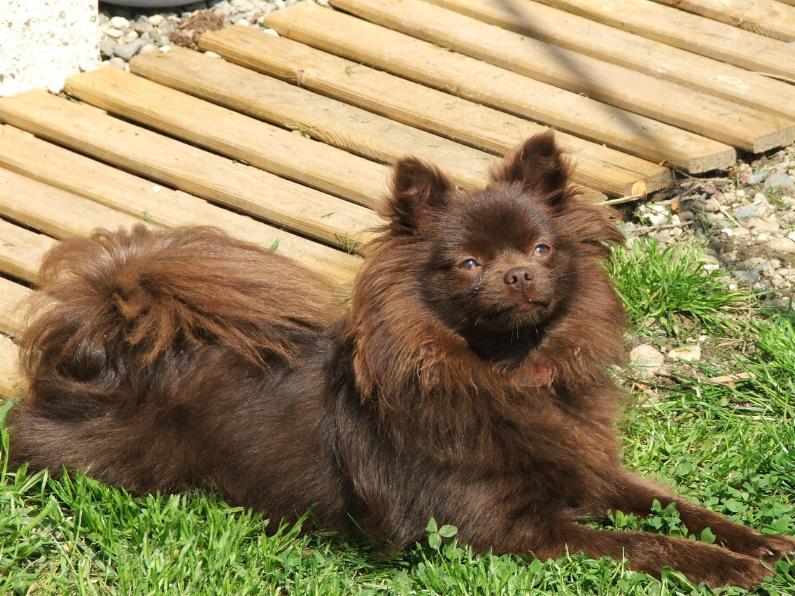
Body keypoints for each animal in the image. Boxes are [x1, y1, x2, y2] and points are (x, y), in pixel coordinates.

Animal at [7, 132, 795, 588]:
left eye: (541, 249)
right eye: (469, 263)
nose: (518, 275)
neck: (503, 373)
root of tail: (103, 339)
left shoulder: (589, 472)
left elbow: (676, 508)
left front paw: (764, 542)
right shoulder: (510, 533)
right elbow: (642, 543)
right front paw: (729, 567)